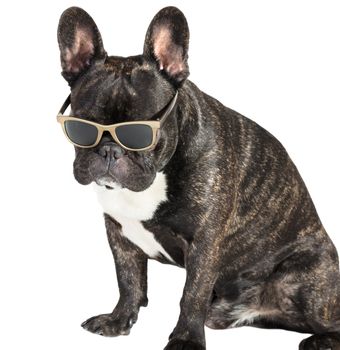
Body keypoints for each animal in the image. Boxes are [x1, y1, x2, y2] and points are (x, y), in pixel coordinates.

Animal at [56, 6, 340, 350]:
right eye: (81, 126)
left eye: (141, 133)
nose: (110, 151)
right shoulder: (119, 234)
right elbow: (129, 280)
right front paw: (118, 321)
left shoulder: (204, 244)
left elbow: (192, 294)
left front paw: (186, 340)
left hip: (305, 281)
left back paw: (319, 341)